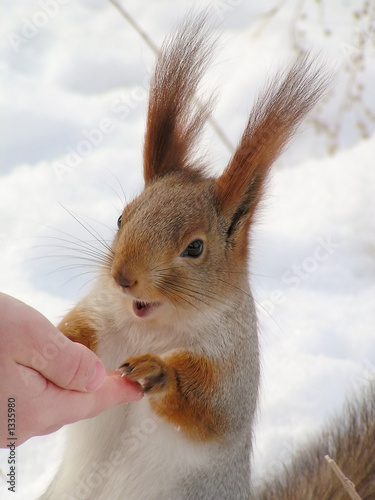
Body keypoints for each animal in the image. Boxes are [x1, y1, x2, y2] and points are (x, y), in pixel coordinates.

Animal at [39, 10, 374, 500]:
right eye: (121, 218)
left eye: (195, 247)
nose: (123, 277)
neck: (151, 326)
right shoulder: (101, 312)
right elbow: (81, 330)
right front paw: (60, 342)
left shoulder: (231, 367)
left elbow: (210, 409)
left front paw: (159, 372)